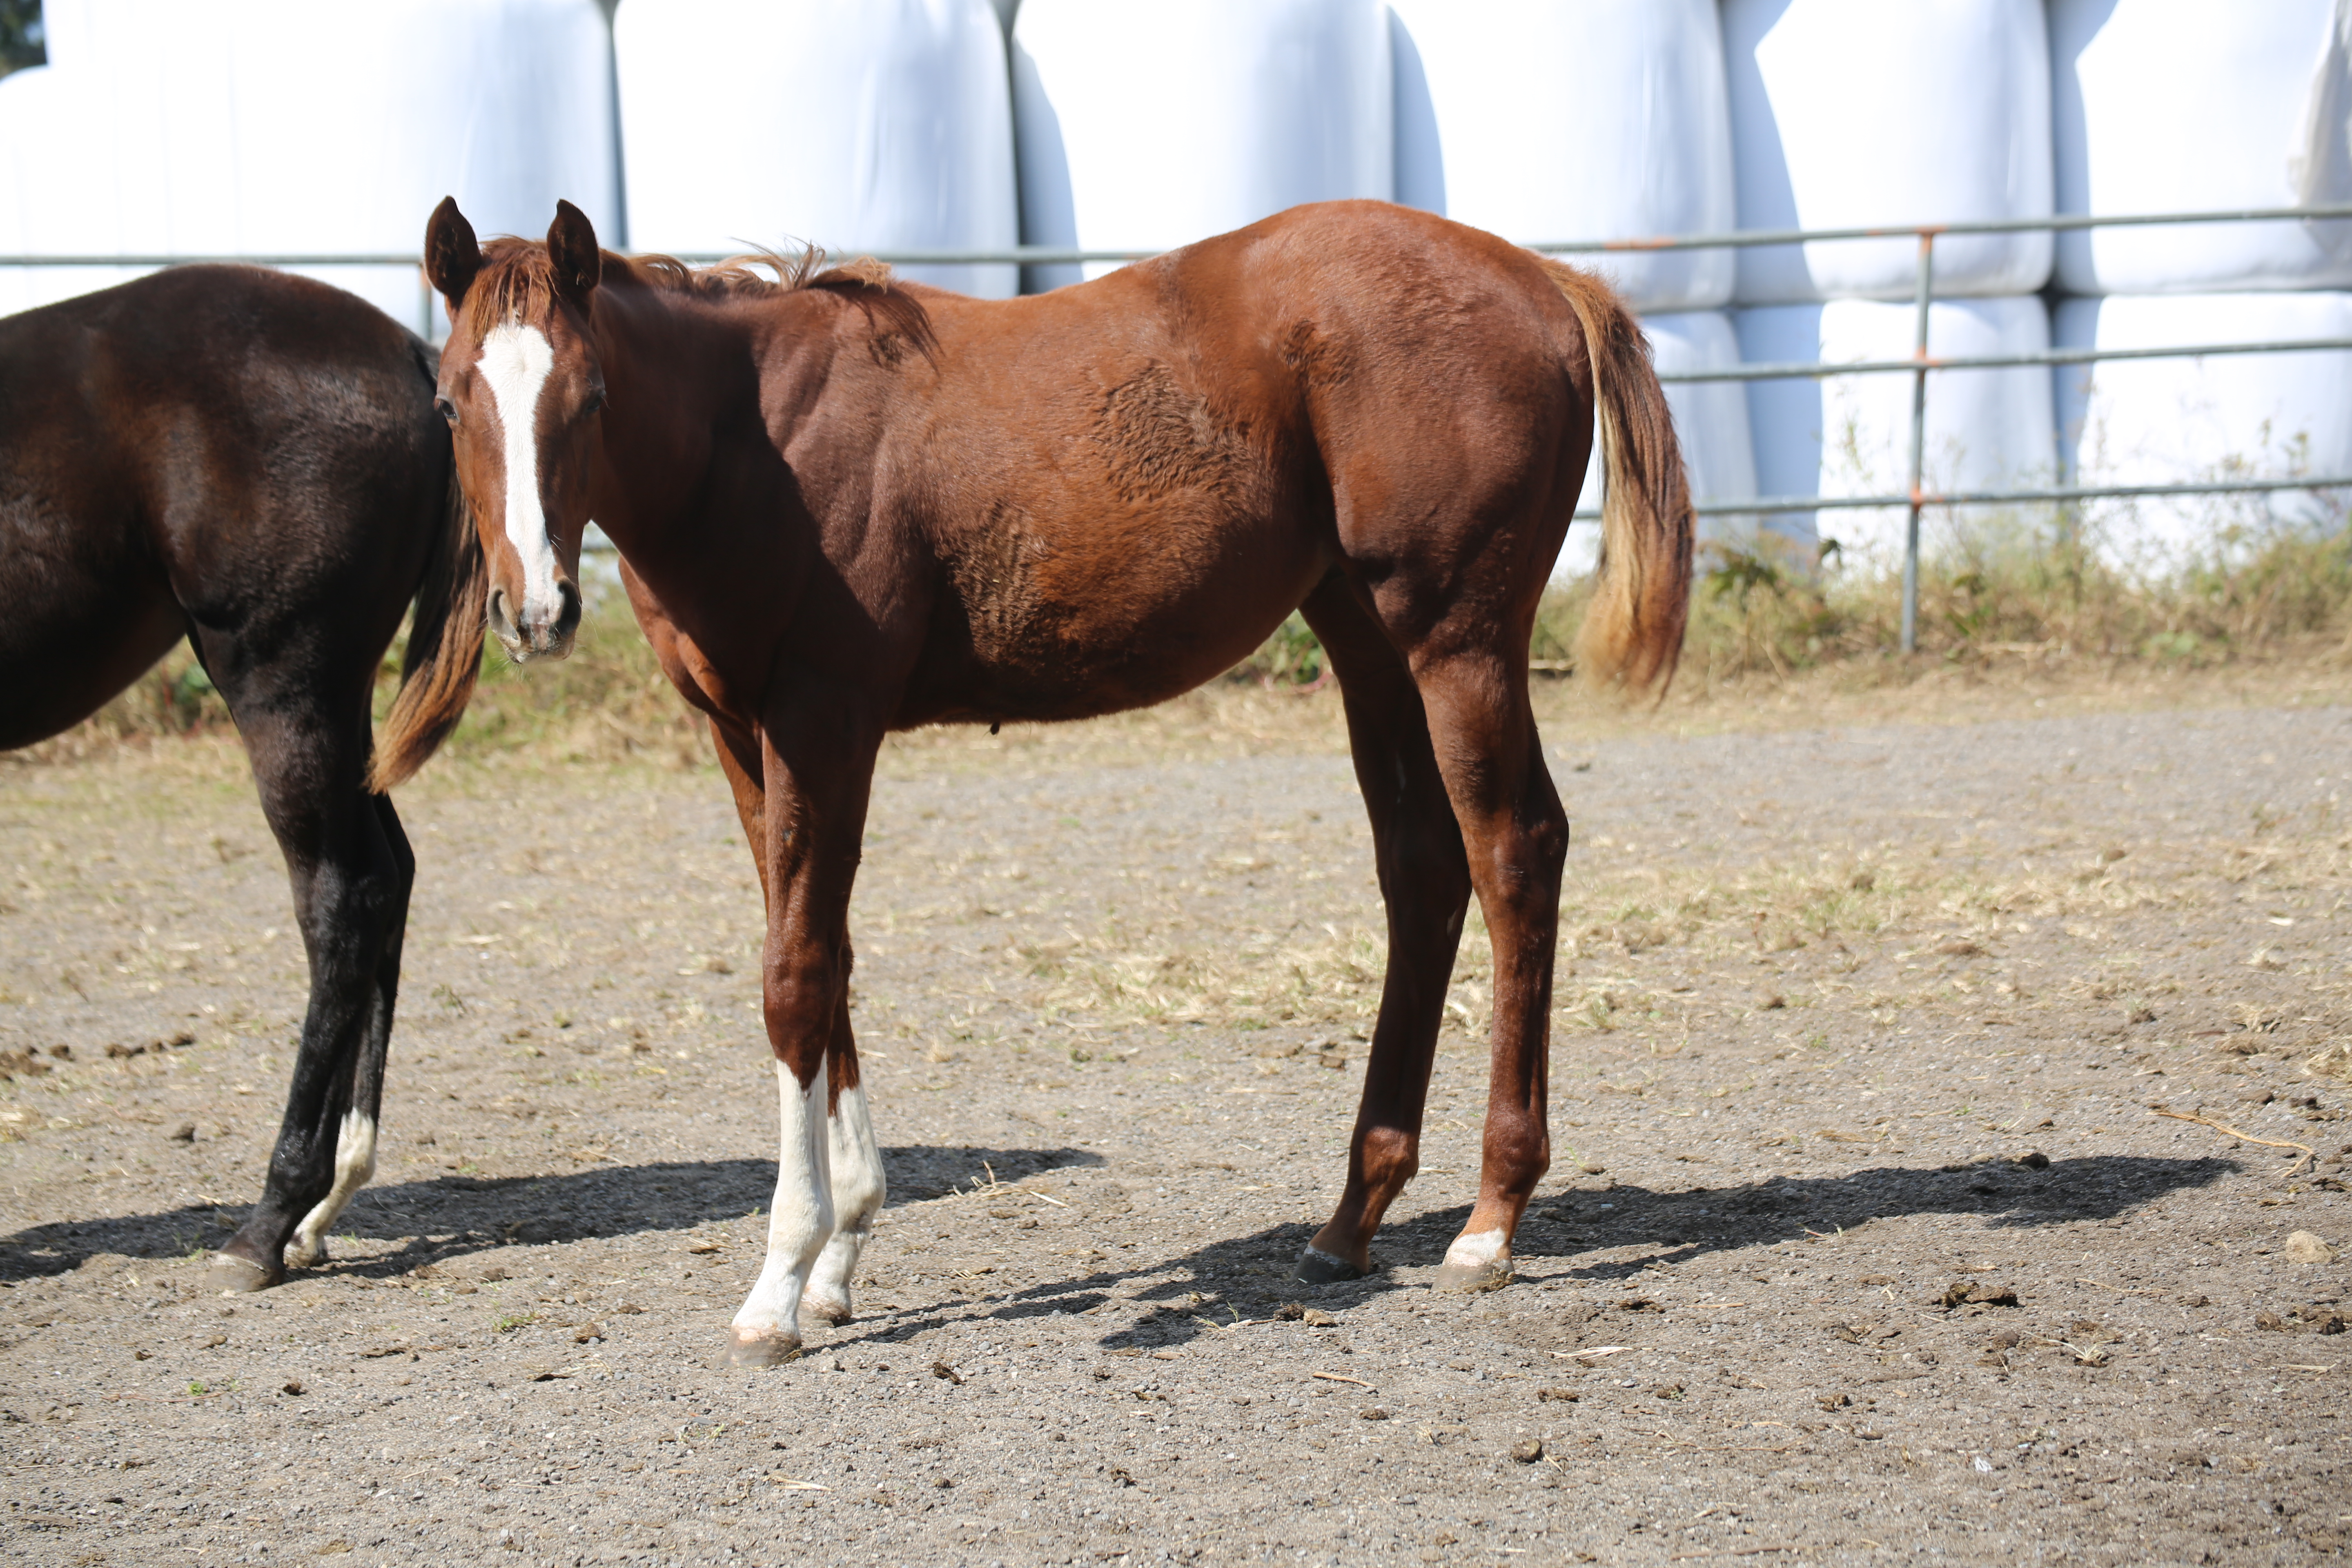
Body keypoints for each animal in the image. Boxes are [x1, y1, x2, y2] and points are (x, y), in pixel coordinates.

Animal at [0, 267, 487, 1288]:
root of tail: (408, 352)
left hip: (281, 688)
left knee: (343, 899)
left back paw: (270, 1219)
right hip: (338, 710)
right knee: (391, 879)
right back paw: (324, 1205)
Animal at [414, 196, 1684, 1363]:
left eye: (589, 396)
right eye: (449, 402)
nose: (533, 611)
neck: (757, 436)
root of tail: (1544, 277)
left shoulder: (825, 721)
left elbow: (795, 977)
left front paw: (781, 1281)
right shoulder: (743, 737)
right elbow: (825, 958)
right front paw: (841, 1255)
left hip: (1456, 641)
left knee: (1514, 852)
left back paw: (1491, 1220)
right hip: (1366, 641)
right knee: (1423, 876)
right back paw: (1349, 1222)